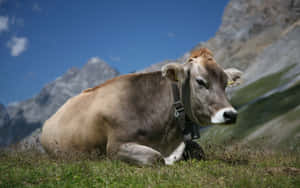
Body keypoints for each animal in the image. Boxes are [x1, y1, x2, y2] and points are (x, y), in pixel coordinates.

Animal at [39, 47, 243, 165]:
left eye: (225, 83)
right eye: (200, 81)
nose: (230, 114)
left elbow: (199, 151)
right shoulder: (115, 147)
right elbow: (156, 158)